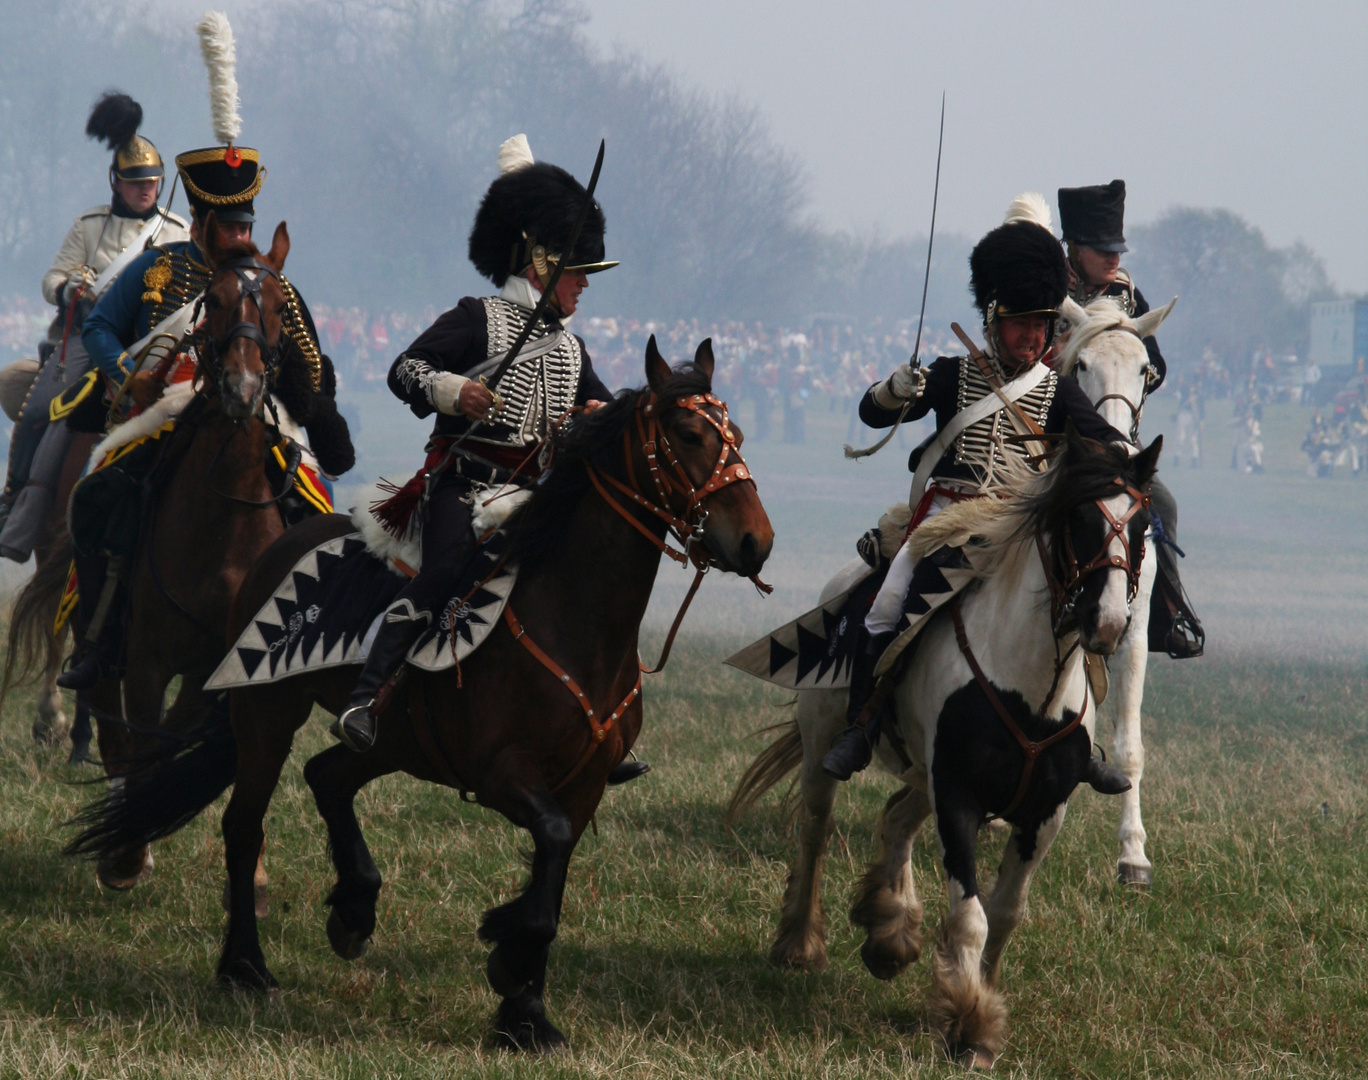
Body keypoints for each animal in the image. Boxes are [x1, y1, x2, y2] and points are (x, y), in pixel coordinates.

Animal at [12, 221, 310, 886]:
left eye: (280, 307)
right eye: (215, 301)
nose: (243, 388)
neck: (225, 517)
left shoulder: (210, 669)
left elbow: (172, 741)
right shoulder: (147, 656)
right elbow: (143, 737)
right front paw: (124, 851)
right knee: (96, 695)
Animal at [74, 336, 777, 1045]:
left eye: (739, 435)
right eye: (688, 434)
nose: (756, 542)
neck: (575, 620)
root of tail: (279, 546)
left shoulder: (583, 786)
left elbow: (553, 878)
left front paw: (524, 1011)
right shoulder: (500, 775)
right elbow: (548, 852)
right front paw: (508, 957)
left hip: (394, 739)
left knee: (328, 775)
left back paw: (354, 910)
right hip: (267, 710)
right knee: (245, 825)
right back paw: (245, 966)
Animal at [733, 427, 1160, 1062]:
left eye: (1143, 524)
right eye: (1079, 517)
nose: (1106, 623)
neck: (1028, 685)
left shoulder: (1042, 811)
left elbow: (1005, 912)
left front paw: (976, 999)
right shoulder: (958, 797)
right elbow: (970, 916)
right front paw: (971, 1026)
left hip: (922, 775)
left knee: (895, 819)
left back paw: (890, 930)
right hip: (824, 744)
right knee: (816, 829)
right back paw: (799, 942)